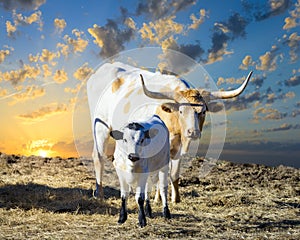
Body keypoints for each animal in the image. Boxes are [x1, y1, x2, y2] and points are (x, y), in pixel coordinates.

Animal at [87, 62, 253, 202]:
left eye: (203, 111)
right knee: (98, 157)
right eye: (181, 111)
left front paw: (175, 199)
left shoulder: (177, 149)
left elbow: (173, 174)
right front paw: (157, 199)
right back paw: (99, 193)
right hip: (100, 127)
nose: (193, 132)